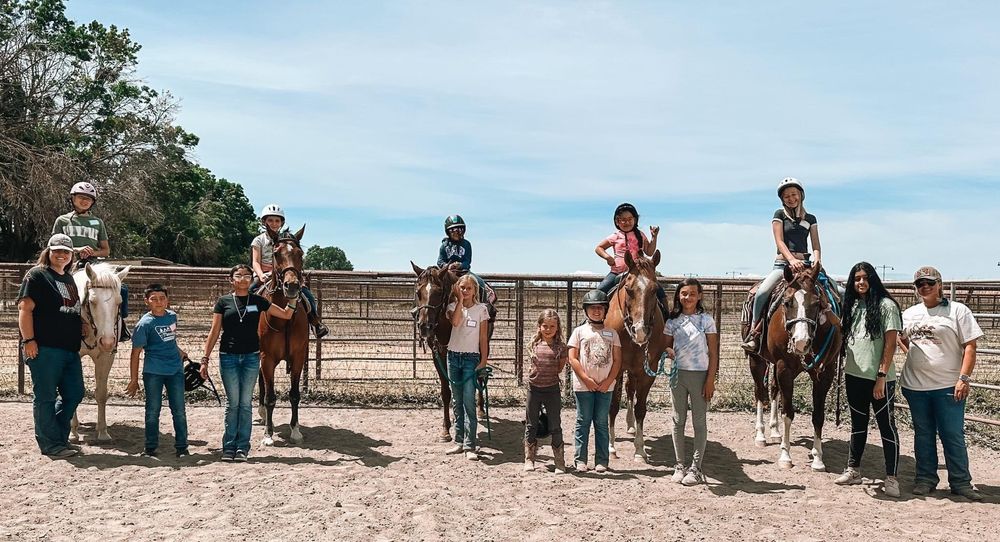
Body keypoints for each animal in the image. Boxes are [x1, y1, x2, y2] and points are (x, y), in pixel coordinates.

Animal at [71, 262, 129, 442]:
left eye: (119, 301)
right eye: (92, 301)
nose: (107, 341)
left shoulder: (106, 357)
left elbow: (101, 393)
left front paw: (103, 432)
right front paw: (72, 432)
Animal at [604, 250, 666, 463]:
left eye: (654, 290)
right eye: (629, 289)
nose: (640, 332)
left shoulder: (648, 370)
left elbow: (641, 408)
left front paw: (640, 450)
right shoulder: (615, 369)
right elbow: (612, 406)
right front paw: (610, 447)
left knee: (630, 390)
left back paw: (631, 426)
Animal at [743, 263, 842, 470]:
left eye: (817, 303)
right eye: (787, 302)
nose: (801, 341)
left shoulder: (825, 372)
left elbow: (818, 415)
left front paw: (818, 458)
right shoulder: (784, 368)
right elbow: (788, 412)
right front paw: (785, 456)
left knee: (773, 390)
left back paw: (775, 432)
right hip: (757, 360)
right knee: (760, 392)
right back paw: (761, 435)